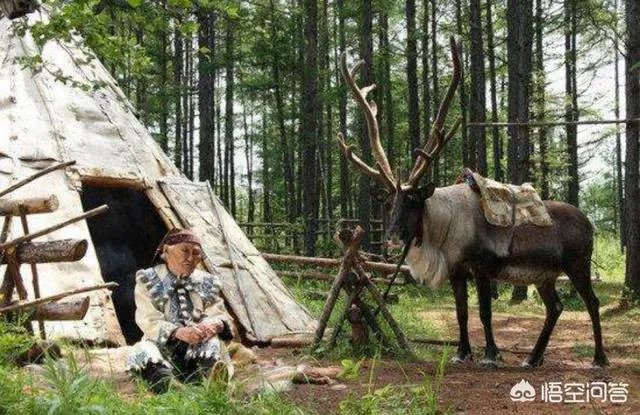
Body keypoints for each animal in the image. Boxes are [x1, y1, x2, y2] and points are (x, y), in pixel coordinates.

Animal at [337, 37, 608, 369]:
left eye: (413, 200)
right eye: (388, 203)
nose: (392, 237)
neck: (444, 231)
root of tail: (589, 222)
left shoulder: (482, 267)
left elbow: (485, 313)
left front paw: (490, 354)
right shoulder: (457, 272)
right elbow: (461, 314)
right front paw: (462, 352)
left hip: (577, 264)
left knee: (591, 302)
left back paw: (599, 358)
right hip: (544, 274)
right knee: (555, 307)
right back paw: (532, 358)